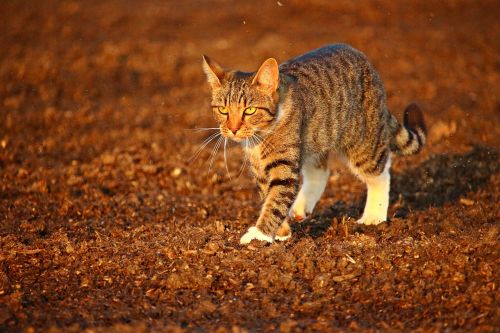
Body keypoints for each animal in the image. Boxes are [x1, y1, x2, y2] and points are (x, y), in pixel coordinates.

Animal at [201, 42, 428, 243]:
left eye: (249, 110)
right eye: (223, 110)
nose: (233, 128)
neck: (260, 137)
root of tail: (367, 63)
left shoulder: (284, 164)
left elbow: (276, 199)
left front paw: (259, 234)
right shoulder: (260, 168)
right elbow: (268, 196)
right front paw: (282, 232)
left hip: (362, 140)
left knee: (380, 171)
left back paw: (374, 215)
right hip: (317, 137)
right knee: (321, 171)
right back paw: (302, 206)